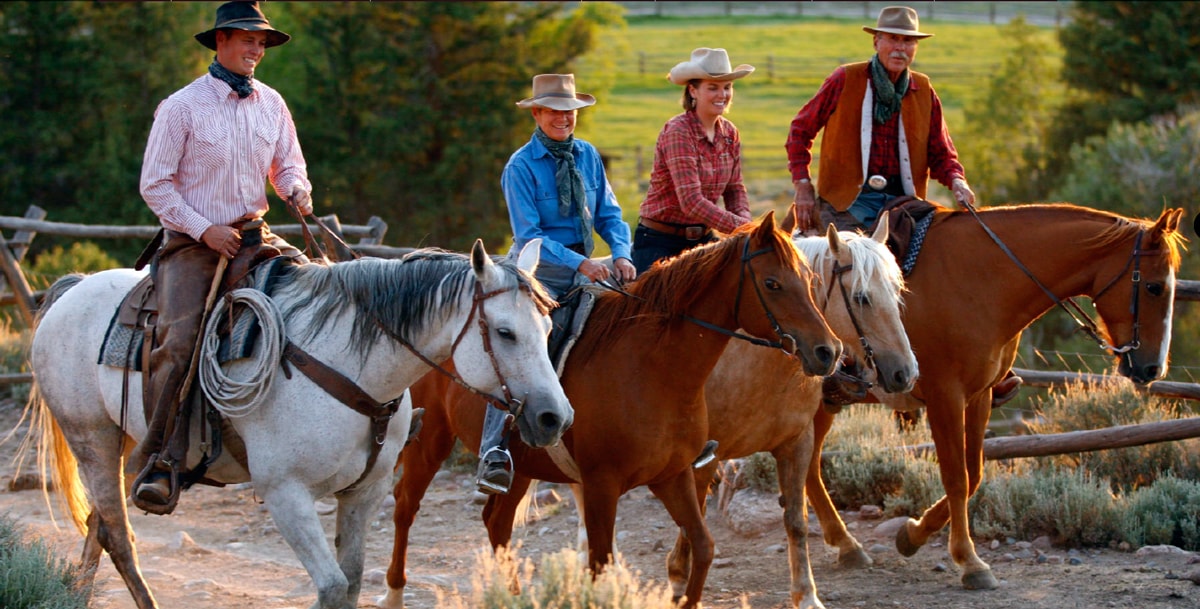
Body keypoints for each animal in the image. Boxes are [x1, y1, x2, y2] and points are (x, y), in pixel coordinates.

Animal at [24, 238, 571, 609]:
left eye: (548, 326)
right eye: (505, 332)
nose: (555, 417)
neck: (349, 366)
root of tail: (74, 288)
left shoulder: (365, 492)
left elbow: (351, 583)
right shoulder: (285, 493)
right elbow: (330, 587)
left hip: (120, 442)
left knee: (98, 525)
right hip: (91, 439)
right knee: (118, 536)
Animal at [379, 212, 840, 606]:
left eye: (809, 279)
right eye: (773, 283)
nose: (828, 351)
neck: (652, 369)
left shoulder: (672, 476)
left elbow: (704, 547)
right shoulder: (602, 486)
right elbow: (600, 565)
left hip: (521, 466)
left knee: (496, 523)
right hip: (429, 441)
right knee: (405, 507)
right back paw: (395, 591)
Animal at [662, 219, 912, 609]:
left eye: (896, 291)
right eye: (861, 297)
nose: (905, 372)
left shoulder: (797, 441)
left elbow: (795, 519)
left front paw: (806, 594)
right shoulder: (700, 455)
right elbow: (693, 515)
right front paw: (678, 578)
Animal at [801, 203, 1185, 589]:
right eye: (1154, 287)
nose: (1153, 368)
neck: (980, 281)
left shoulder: (980, 396)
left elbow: (974, 474)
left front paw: (913, 535)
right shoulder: (945, 397)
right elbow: (957, 478)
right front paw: (969, 561)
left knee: (810, 465)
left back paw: (845, 544)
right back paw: (845, 543)